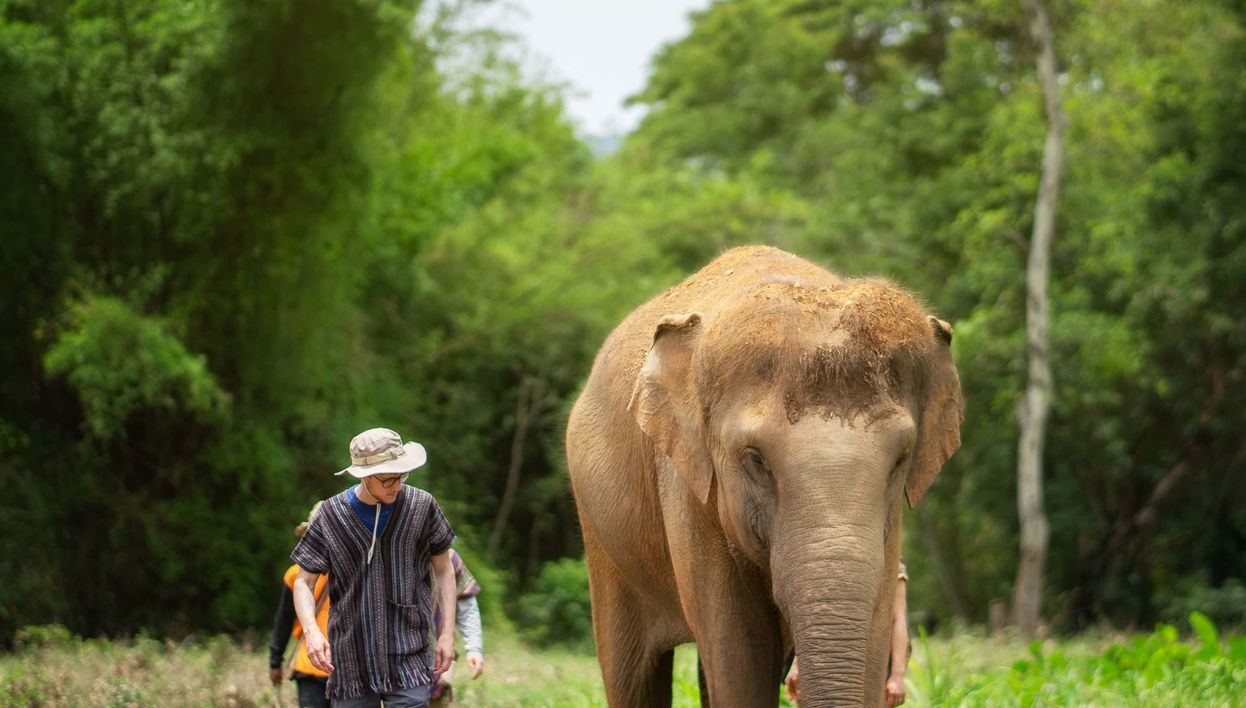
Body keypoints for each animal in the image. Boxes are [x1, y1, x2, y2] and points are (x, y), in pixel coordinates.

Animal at [565, 246, 963, 707]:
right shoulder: (688, 486)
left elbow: (875, 631)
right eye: (755, 459)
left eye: (901, 458)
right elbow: (740, 651)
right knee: (632, 674)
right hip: (601, 538)